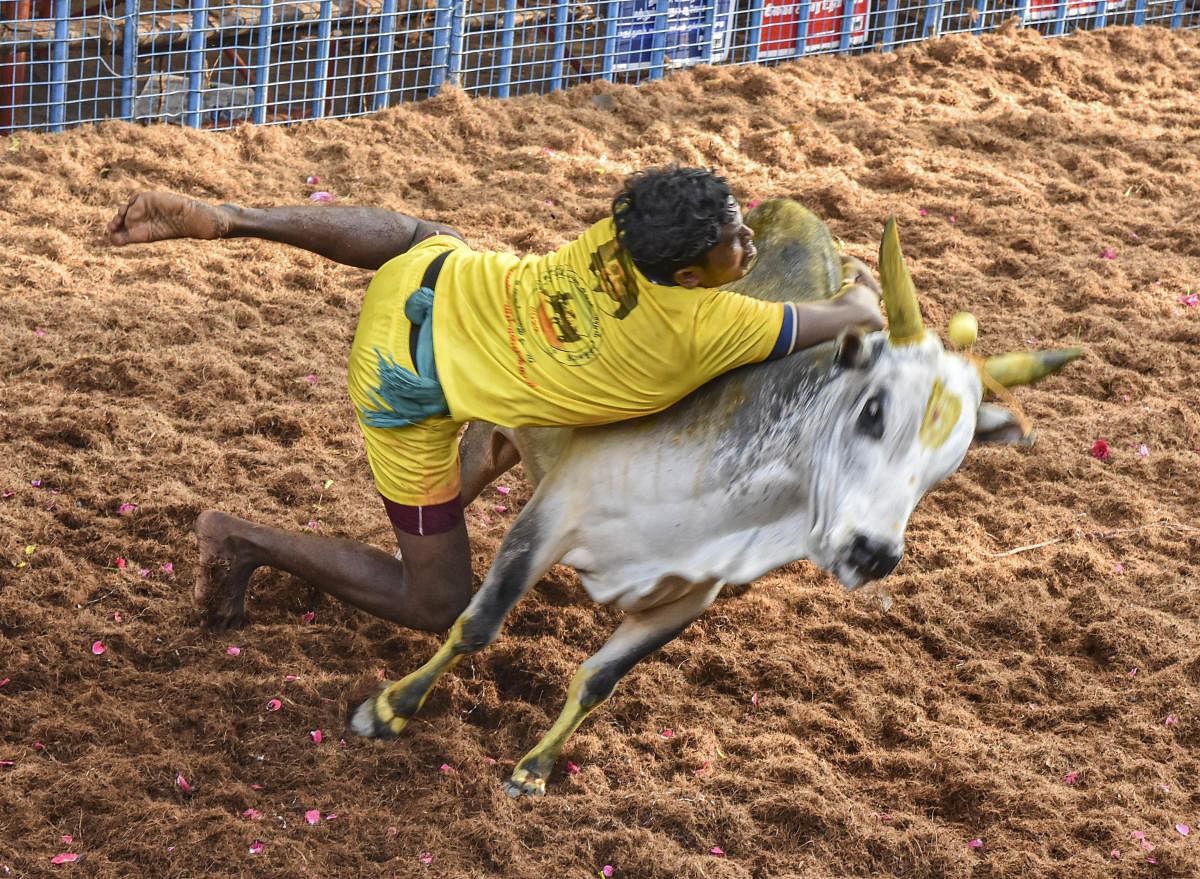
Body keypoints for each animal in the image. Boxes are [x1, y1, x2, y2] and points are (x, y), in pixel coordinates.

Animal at [345, 199, 1080, 797]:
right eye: (873, 410)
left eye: (949, 464)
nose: (873, 553)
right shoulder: (550, 517)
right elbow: (476, 623)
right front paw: (389, 709)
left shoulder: (689, 594)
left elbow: (600, 678)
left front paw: (534, 769)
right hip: (489, 439)